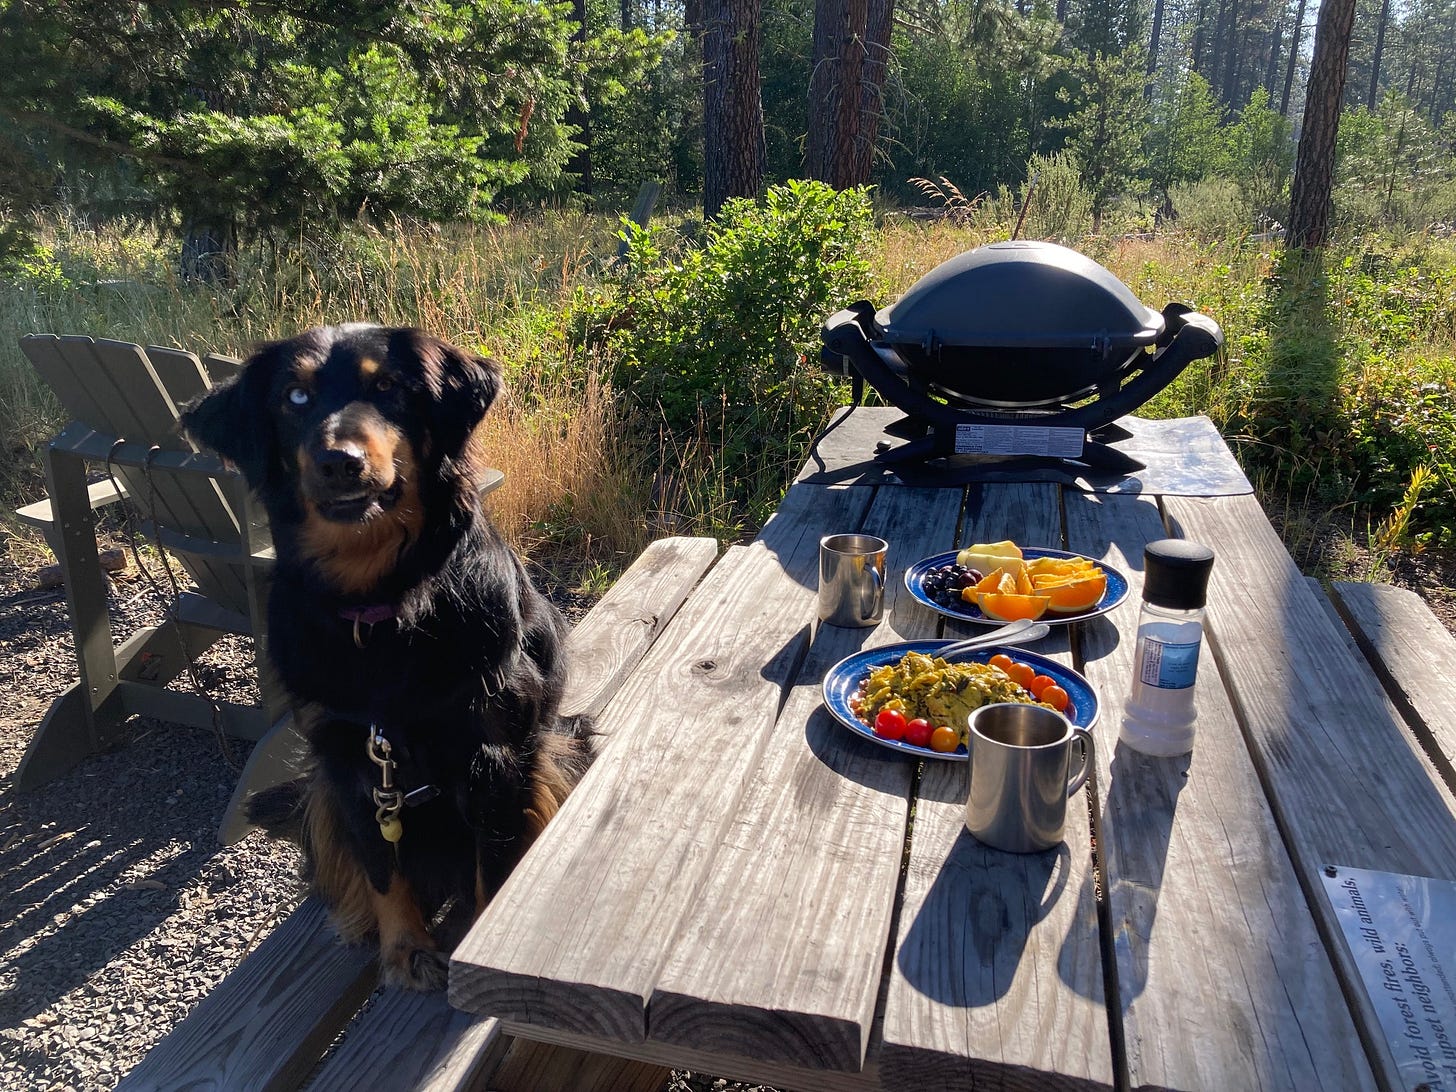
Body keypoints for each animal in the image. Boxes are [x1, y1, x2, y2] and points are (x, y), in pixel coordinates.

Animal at [183, 323, 591, 990]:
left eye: (390, 388)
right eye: (294, 396)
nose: (339, 462)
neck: (380, 604)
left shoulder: (496, 752)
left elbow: (494, 859)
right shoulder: (349, 760)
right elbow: (381, 866)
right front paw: (406, 948)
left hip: (563, 747)